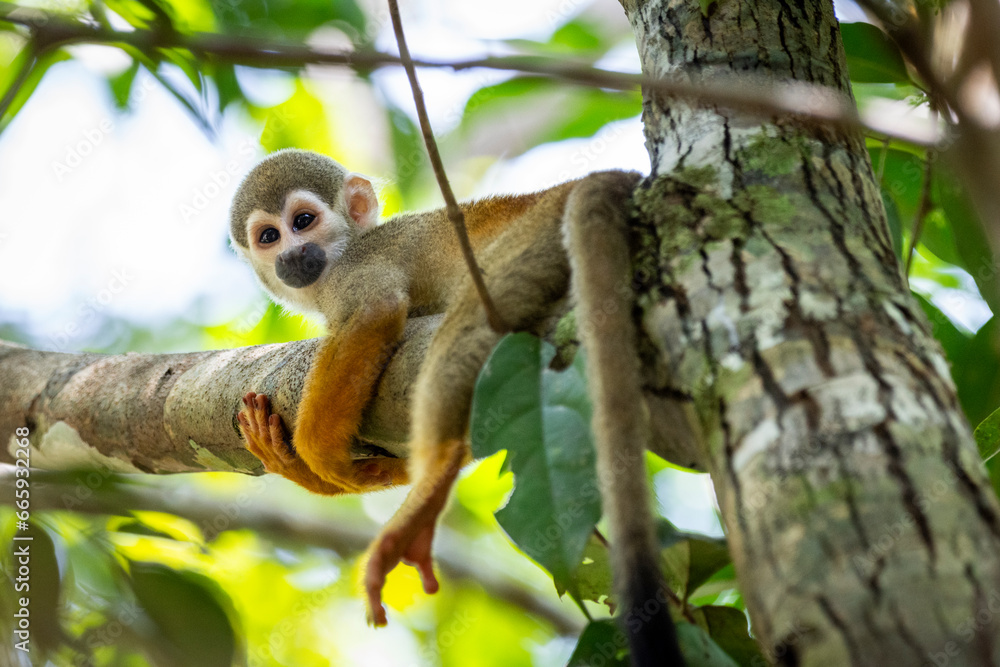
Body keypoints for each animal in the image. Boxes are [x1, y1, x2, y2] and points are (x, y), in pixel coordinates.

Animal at [229, 149, 684, 665]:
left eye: (303, 221)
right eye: (269, 236)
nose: (291, 254)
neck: (346, 251)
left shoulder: (360, 271)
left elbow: (375, 311)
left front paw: (318, 454)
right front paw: (296, 463)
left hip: (534, 236)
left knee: (469, 325)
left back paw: (430, 488)